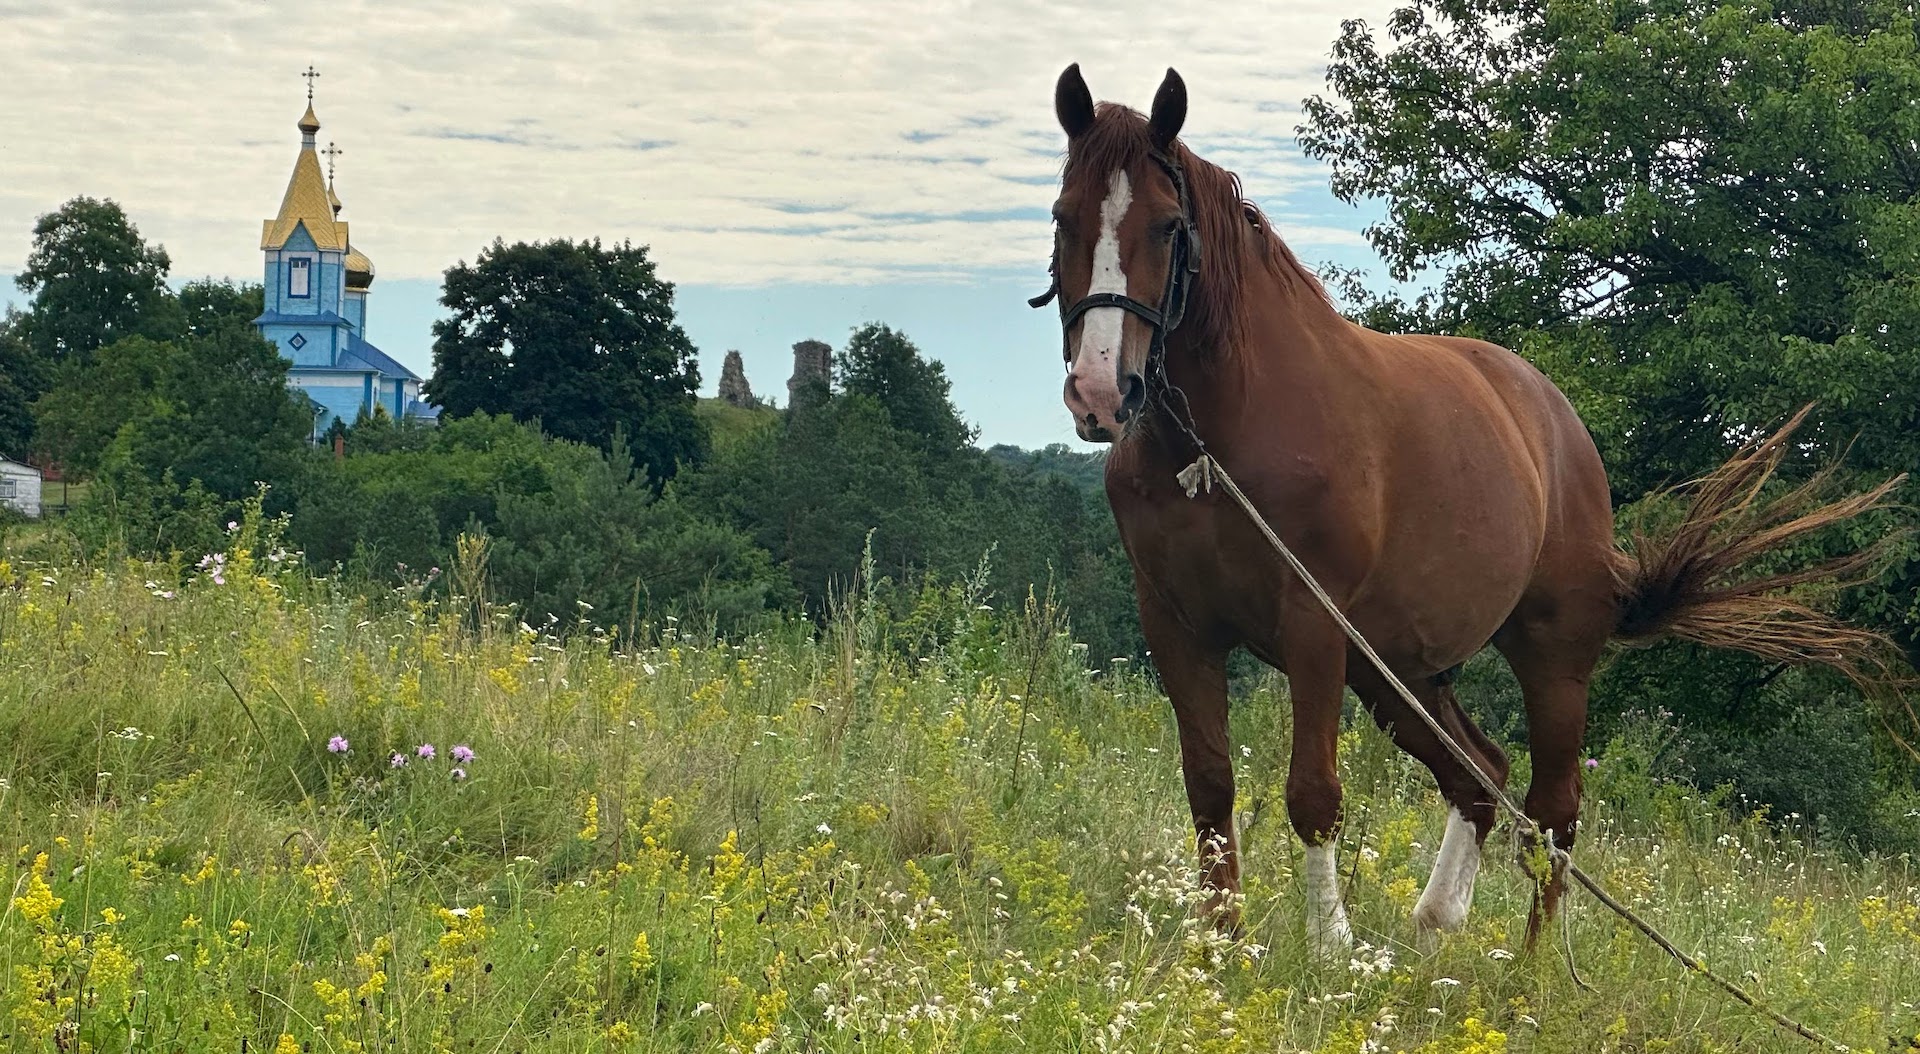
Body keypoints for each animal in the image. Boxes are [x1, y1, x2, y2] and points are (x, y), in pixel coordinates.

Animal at [1044, 63, 1912, 952]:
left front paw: (1330, 952)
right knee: (1480, 773)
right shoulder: (1176, 626)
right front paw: (1220, 950)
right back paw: (1436, 923)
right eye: (1062, 217)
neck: (1219, 438)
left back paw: (1533, 967)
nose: (1102, 393)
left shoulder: (1313, 625)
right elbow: (1211, 787)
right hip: (1398, 670)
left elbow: (1313, 794)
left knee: (1552, 811)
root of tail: (1556, 423)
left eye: (1167, 225)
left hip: (1548, 658)